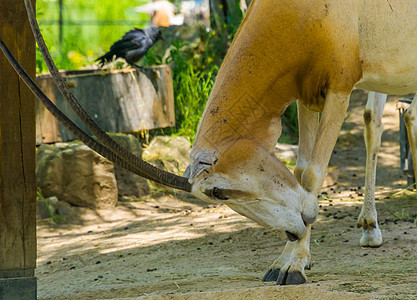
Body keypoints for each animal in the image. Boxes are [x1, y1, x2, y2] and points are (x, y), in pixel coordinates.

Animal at [0, 0, 416, 286]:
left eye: (218, 191)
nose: (296, 229)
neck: (306, 11)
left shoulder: (338, 90)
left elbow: (313, 174)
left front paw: (293, 265)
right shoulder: (307, 94)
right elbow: (301, 171)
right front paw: (289, 259)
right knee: (384, 118)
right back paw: (369, 227)